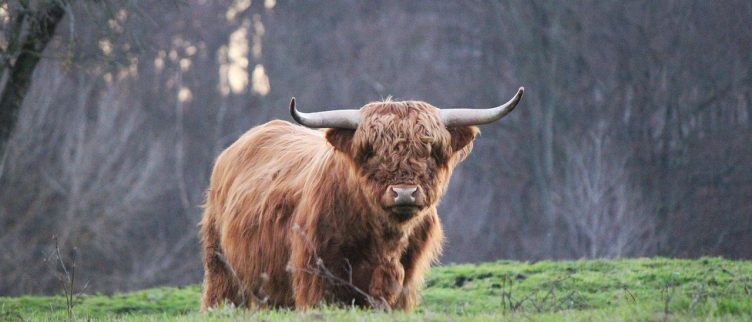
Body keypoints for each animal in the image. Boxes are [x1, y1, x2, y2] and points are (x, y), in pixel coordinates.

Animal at [203, 87, 524, 310]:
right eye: (371, 152)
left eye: (430, 151)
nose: (404, 192)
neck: (386, 242)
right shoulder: (316, 277)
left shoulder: (403, 285)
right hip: (221, 267)